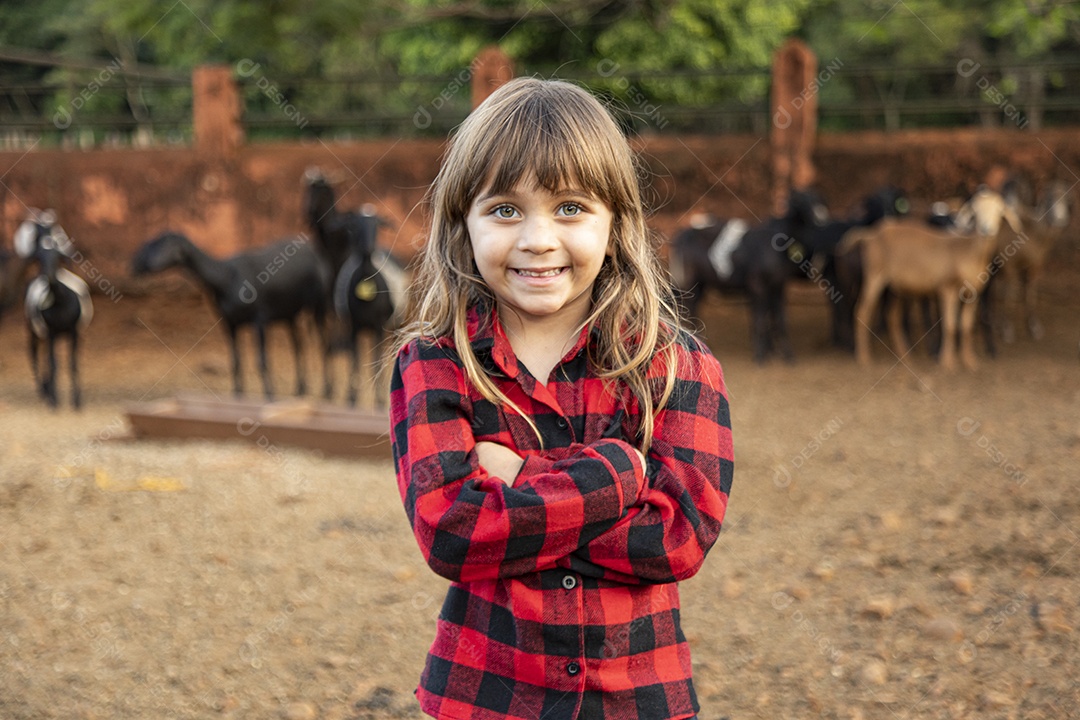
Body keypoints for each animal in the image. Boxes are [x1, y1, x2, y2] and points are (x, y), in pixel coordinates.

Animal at [129, 232, 328, 397]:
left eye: (159, 243)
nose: (135, 263)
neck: (225, 278)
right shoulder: (229, 323)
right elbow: (235, 361)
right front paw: (238, 394)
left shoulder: (260, 319)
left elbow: (261, 360)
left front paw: (269, 394)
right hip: (290, 314)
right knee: (298, 345)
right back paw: (300, 389)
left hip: (318, 304)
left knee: (321, 342)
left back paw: (326, 390)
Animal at [669, 188, 829, 362]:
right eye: (800, 201)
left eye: (818, 199)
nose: (821, 217)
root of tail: (682, 234)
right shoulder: (756, 283)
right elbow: (760, 319)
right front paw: (761, 355)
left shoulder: (777, 285)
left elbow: (779, 319)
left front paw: (786, 354)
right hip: (688, 282)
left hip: (700, 284)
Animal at [842, 189, 1019, 371]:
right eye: (976, 213)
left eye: (998, 211)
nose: (986, 229)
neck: (968, 252)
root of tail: (870, 234)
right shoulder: (948, 288)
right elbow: (949, 326)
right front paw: (947, 363)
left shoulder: (974, 294)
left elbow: (966, 327)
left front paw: (970, 362)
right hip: (874, 274)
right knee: (862, 311)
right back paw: (863, 358)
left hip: (896, 286)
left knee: (891, 317)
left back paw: (905, 357)